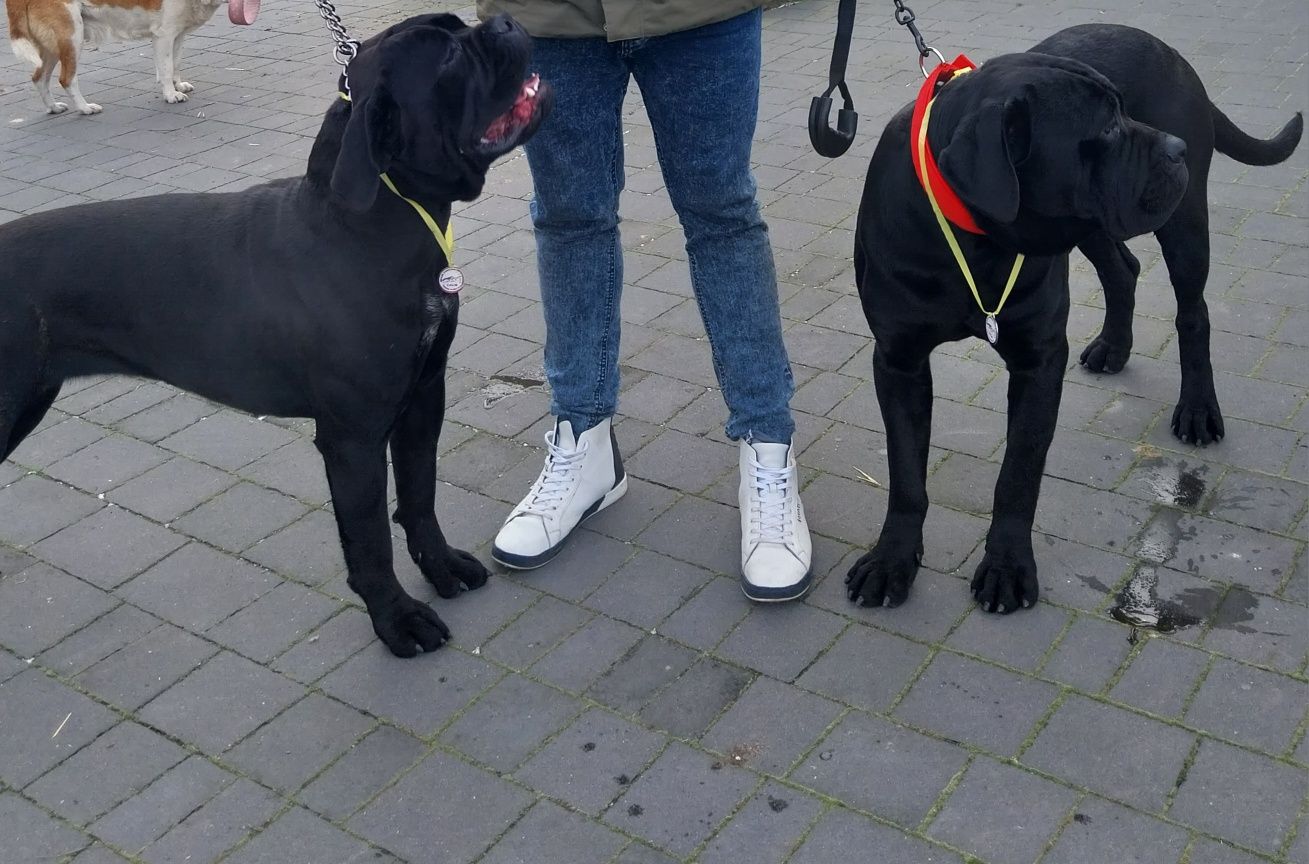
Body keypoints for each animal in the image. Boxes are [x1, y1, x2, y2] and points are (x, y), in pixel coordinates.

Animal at [6, 0, 226, 113]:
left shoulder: (177, 34)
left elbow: (176, 63)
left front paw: (178, 85)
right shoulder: (164, 35)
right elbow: (166, 69)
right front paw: (171, 95)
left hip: (53, 47)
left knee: (39, 78)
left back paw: (53, 107)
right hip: (72, 38)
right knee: (67, 79)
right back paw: (85, 108)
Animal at [848, 21, 1298, 615]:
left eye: (1122, 111)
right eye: (1104, 127)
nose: (1175, 148)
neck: (976, 238)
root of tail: (1166, 48)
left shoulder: (1038, 359)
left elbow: (1018, 474)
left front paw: (1007, 568)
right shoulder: (898, 360)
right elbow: (905, 474)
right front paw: (891, 560)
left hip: (1183, 224)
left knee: (1193, 313)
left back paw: (1198, 408)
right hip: (1091, 227)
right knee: (1123, 269)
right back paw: (1114, 347)